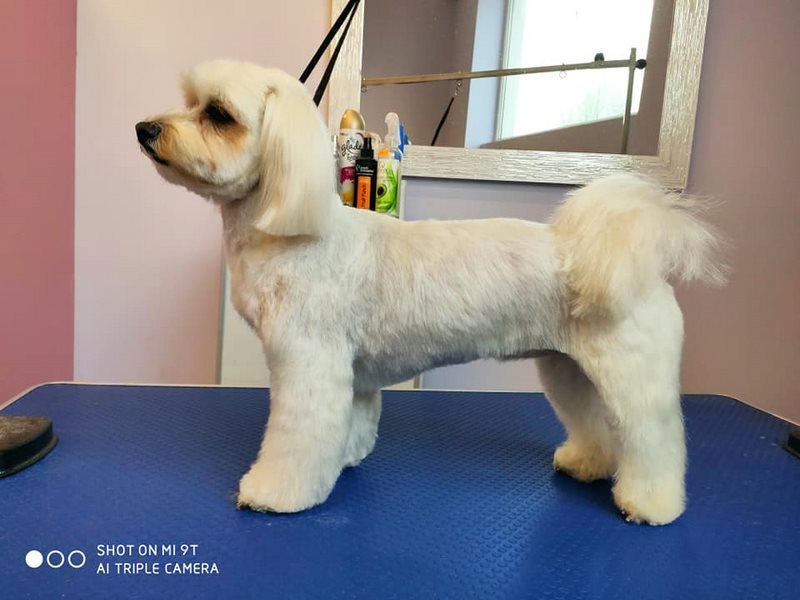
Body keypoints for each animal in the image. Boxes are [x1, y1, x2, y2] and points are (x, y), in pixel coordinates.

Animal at [136, 60, 725, 525]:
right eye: (190, 103)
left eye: (218, 114)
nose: (144, 127)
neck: (289, 228)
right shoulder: (353, 374)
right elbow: (351, 423)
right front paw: (345, 458)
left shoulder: (310, 363)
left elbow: (296, 438)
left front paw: (275, 494)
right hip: (570, 369)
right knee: (597, 423)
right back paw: (588, 464)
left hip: (631, 372)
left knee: (654, 438)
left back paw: (650, 504)